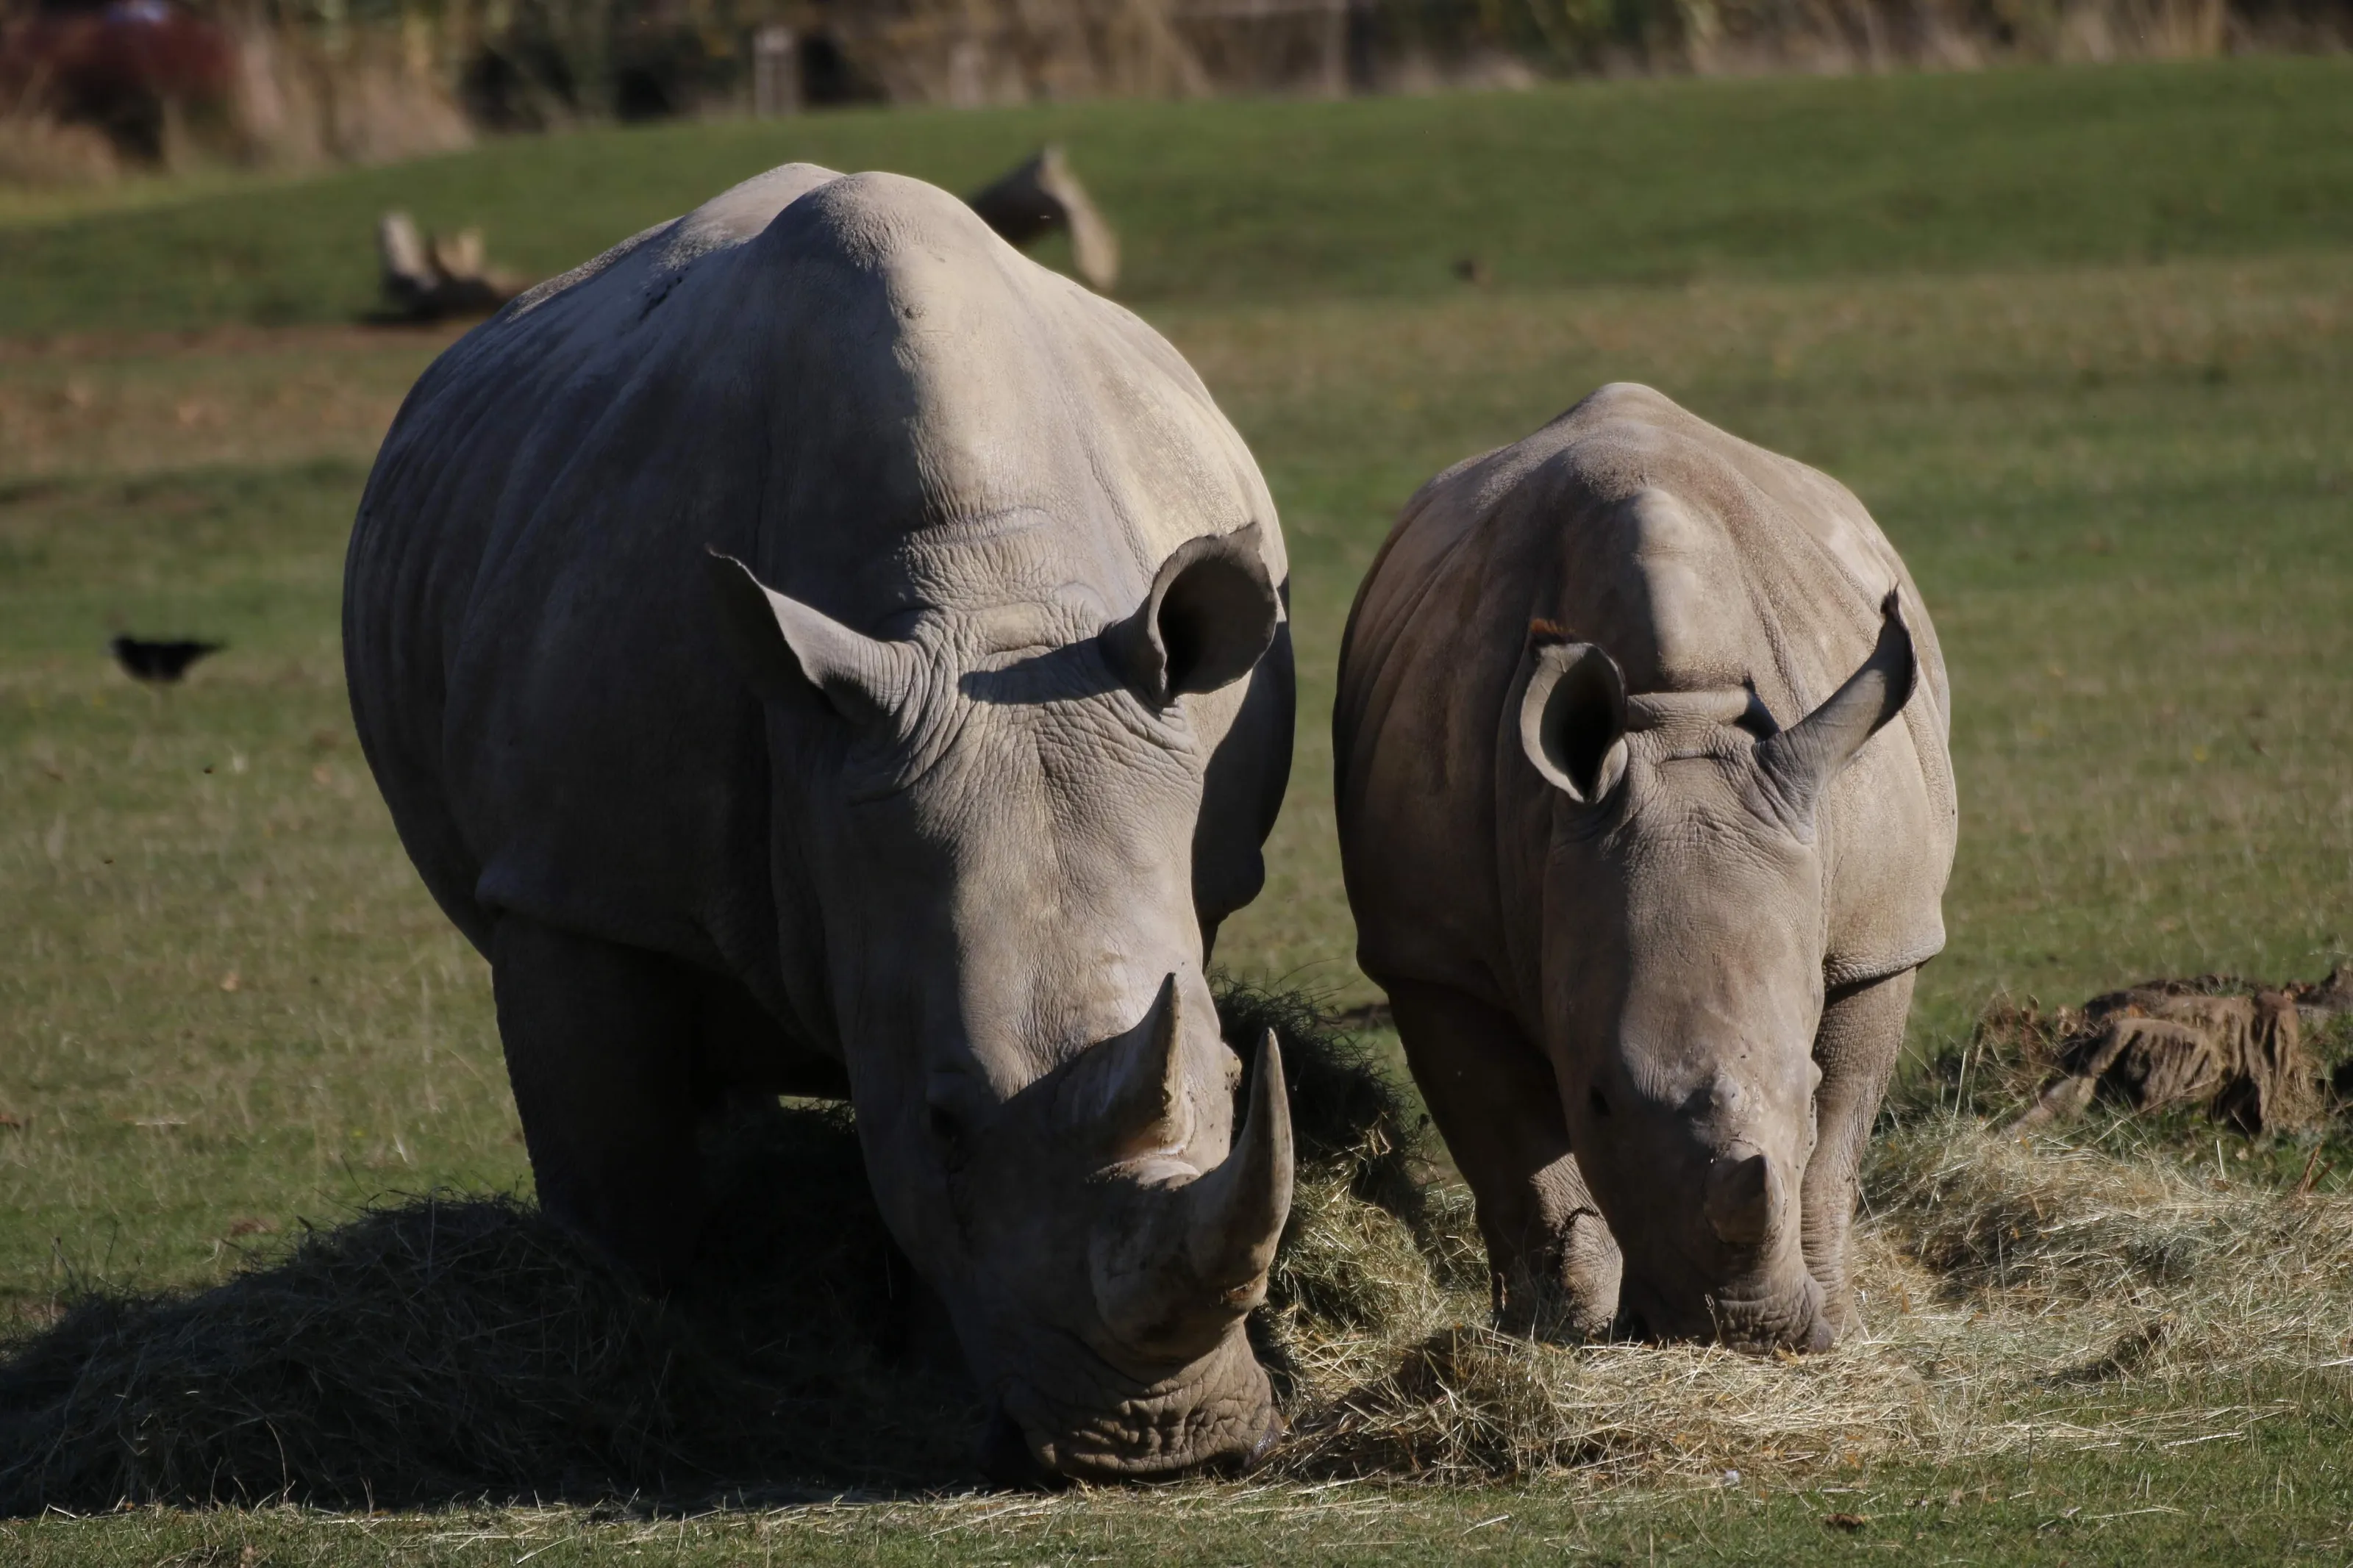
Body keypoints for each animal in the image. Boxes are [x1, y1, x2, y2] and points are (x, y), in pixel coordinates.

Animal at [343, 165, 1299, 1480]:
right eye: (946, 1126)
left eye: (1235, 1079)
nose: (1169, 1440)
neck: (980, 593)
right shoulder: (574, 888)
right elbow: (613, 1178)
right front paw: (642, 1358)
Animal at [1334, 384, 1955, 1351]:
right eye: (1597, 1100)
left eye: (1804, 1088)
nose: (1739, 1327)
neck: (1676, 716)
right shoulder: (1432, 952)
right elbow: (1514, 1158)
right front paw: (1559, 1328)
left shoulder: (1877, 934)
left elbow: (1835, 1148)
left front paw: (1837, 1320)